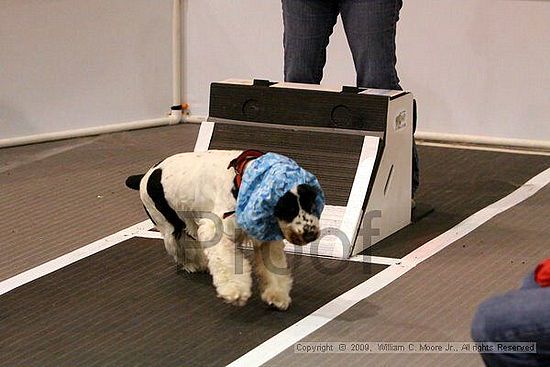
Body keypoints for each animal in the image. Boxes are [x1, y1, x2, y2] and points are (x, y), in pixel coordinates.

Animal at [126, 150, 324, 310]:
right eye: (287, 208)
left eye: (310, 203)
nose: (310, 233)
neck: (240, 182)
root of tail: (144, 176)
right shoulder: (216, 230)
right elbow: (227, 262)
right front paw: (235, 291)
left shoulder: (265, 236)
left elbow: (273, 267)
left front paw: (277, 295)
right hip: (170, 226)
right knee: (181, 247)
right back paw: (193, 265)